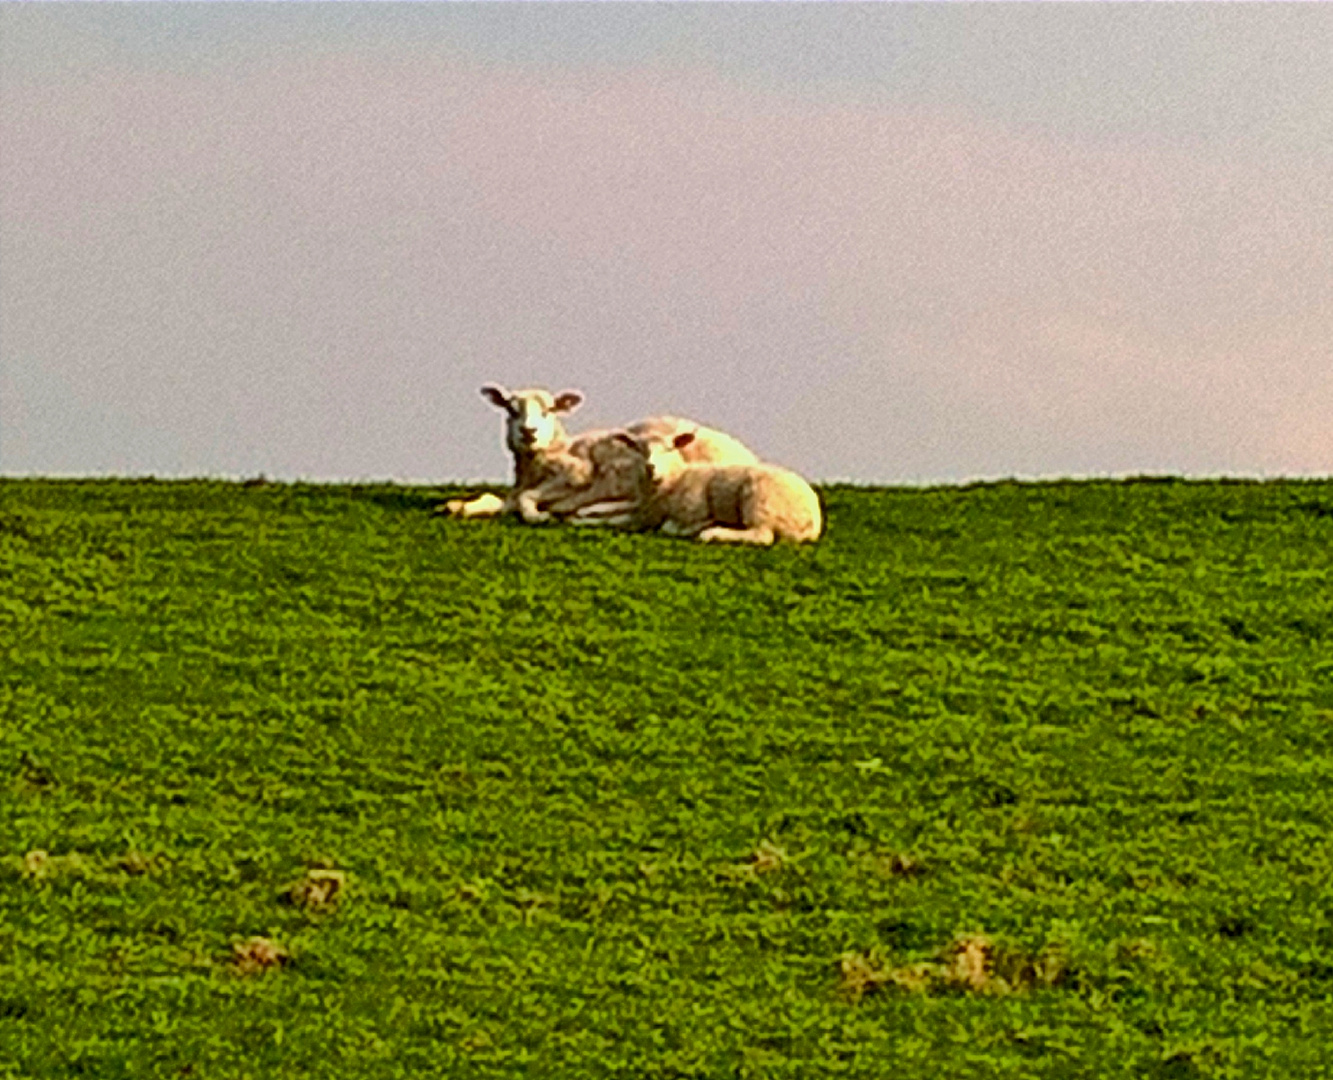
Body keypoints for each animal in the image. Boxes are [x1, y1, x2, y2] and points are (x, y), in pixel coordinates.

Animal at [439, 384, 762, 522]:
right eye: (510, 409)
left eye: (549, 410)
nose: (528, 433)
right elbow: (496, 499)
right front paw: (458, 506)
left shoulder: (577, 476)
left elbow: (526, 499)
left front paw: (537, 515)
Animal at [583, 424, 821, 544]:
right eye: (640, 449)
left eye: (669, 449)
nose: (651, 467)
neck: (675, 479)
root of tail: (813, 523)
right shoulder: (642, 516)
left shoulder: (692, 510)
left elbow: (670, 527)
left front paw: (693, 528)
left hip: (760, 502)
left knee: (762, 535)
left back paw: (712, 533)